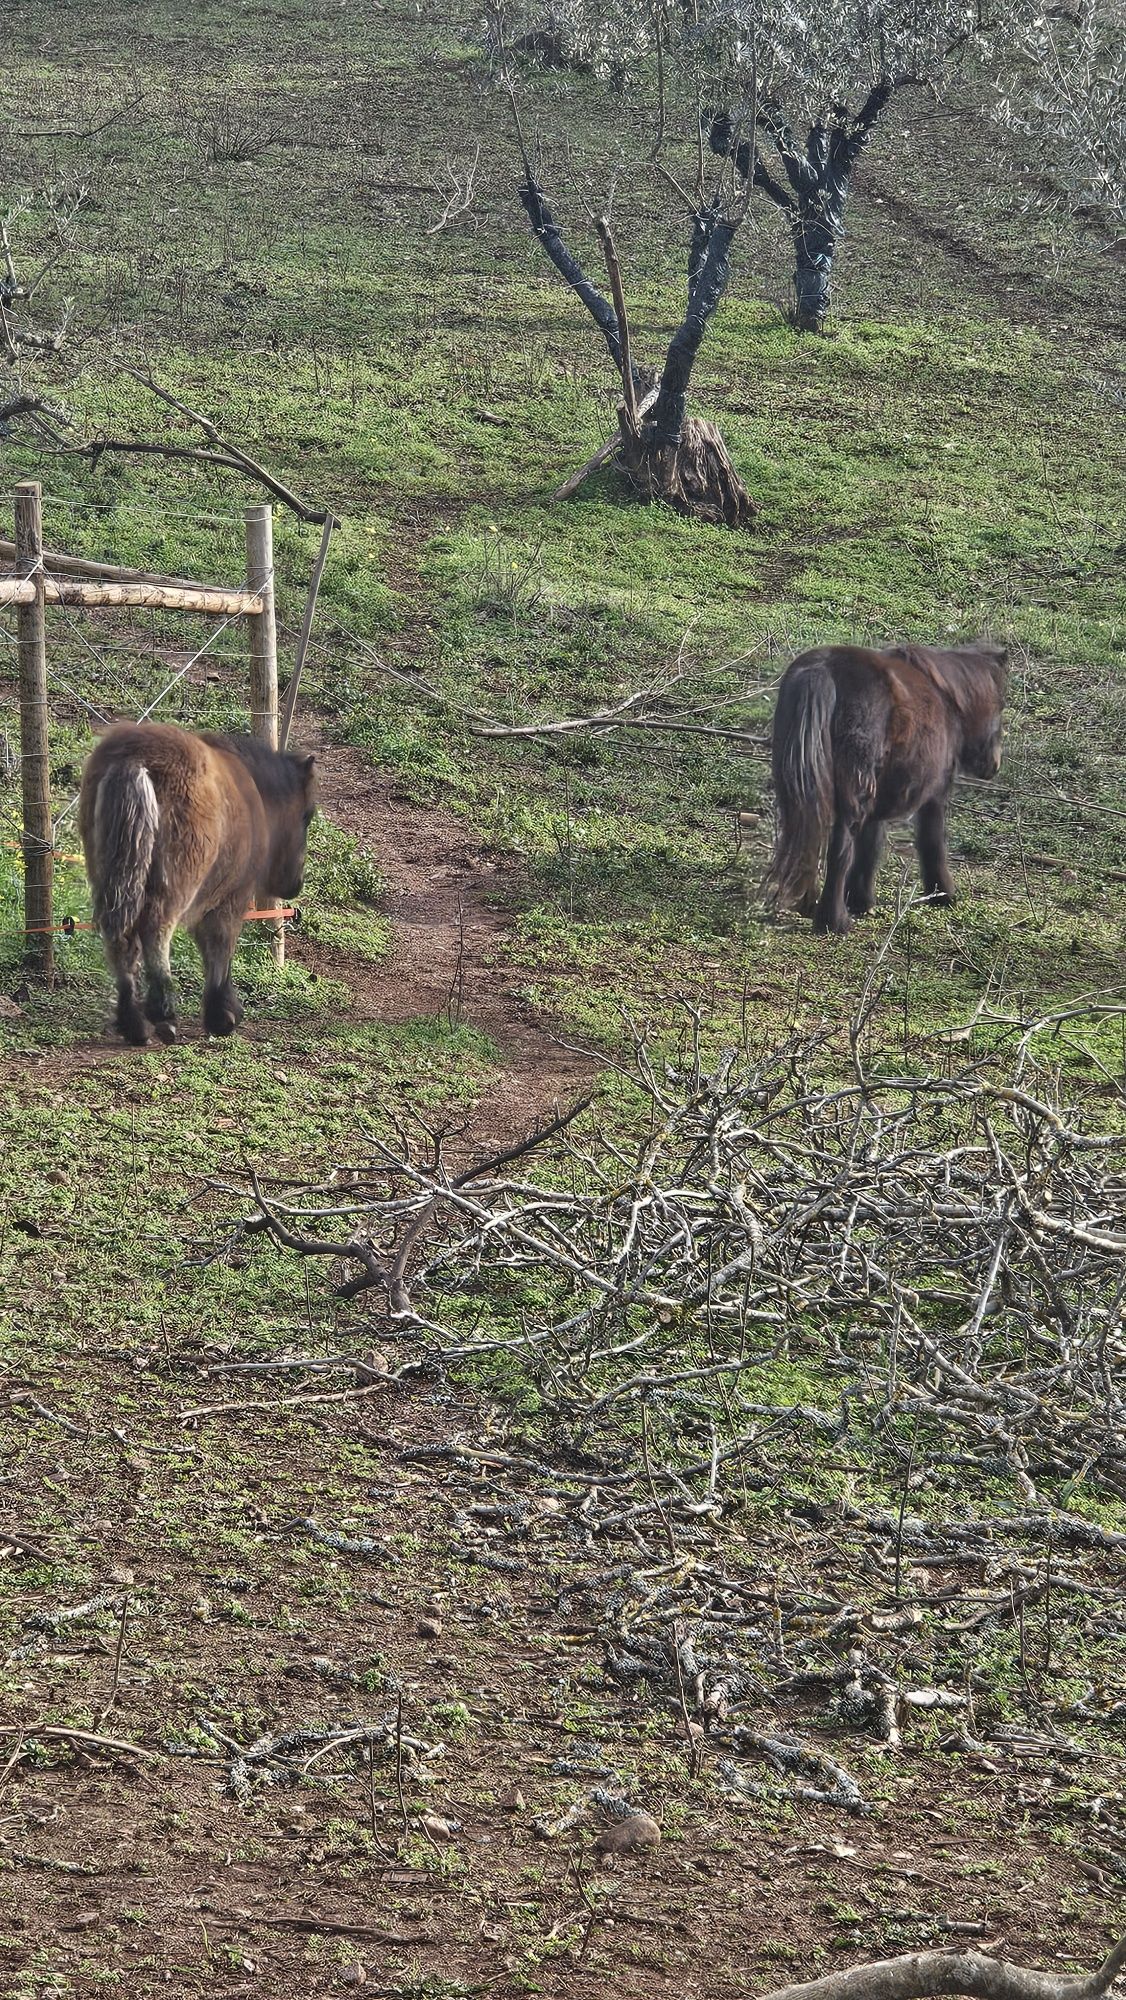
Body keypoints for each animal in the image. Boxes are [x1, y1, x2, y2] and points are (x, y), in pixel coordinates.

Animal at [80, 724, 318, 1048]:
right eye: (307, 815)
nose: (294, 885)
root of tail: (134, 760)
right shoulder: (229, 899)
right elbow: (219, 947)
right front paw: (222, 1015)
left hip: (113, 880)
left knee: (122, 940)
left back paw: (134, 1023)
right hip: (173, 888)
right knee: (156, 932)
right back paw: (163, 1014)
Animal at [772, 640, 1008, 936]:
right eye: (1000, 706)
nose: (995, 764)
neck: (948, 699)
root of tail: (823, 669)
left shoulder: (877, 804)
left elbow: (870, 847)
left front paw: (861, 899)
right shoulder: (935, 795)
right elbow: (932, 841)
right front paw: (943, 893)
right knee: (839, 849)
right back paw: (833, 921)